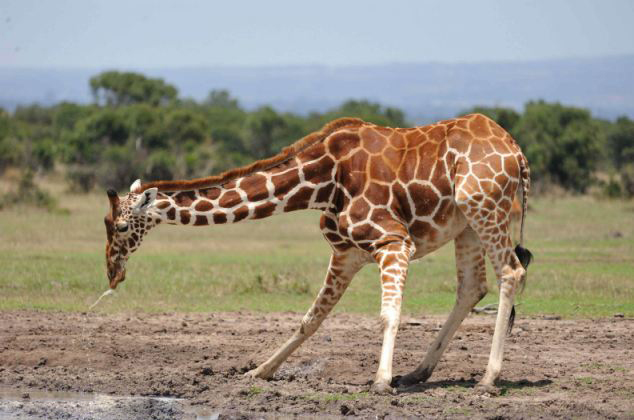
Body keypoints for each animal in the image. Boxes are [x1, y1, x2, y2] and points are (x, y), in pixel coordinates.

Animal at [106, 114, 532, 394]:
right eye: (106, 225)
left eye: (122, 227)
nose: (112, 273)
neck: (322, 183)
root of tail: (517, 153)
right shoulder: (346, 254)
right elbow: (310, 319)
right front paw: (258, 373)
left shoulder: (394, 241)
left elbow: (388, 314)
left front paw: (381, 382)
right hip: (467, 225)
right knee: (472, 287)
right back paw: (418, 373)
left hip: (484, 208)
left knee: (511, 272)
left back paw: (487, 379)